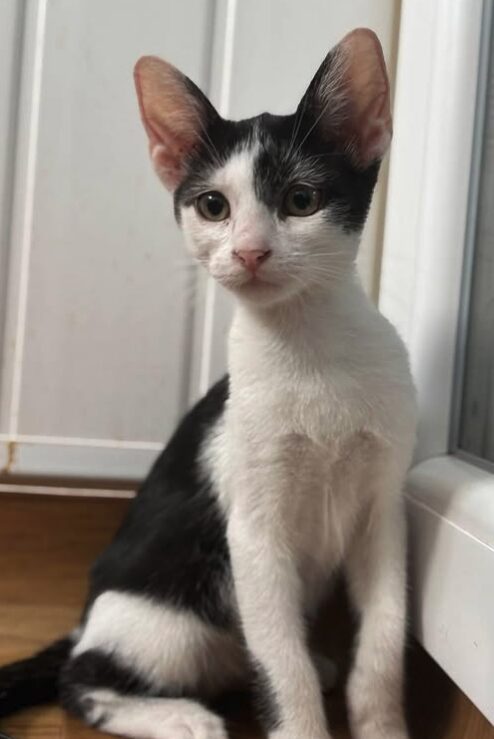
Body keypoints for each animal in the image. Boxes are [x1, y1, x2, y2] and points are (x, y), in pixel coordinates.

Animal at [0, 26, 416, 739]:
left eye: (301, 200)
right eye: (213, 206)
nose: (249, 251)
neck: (311, 350)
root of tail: (84, 619)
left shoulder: (382, 512)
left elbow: (384, 643)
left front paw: (382, 723)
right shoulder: (251, 531)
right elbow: (282, 666)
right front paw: (300, 722)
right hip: (166, 618)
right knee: (79, 680)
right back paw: (180, 717)